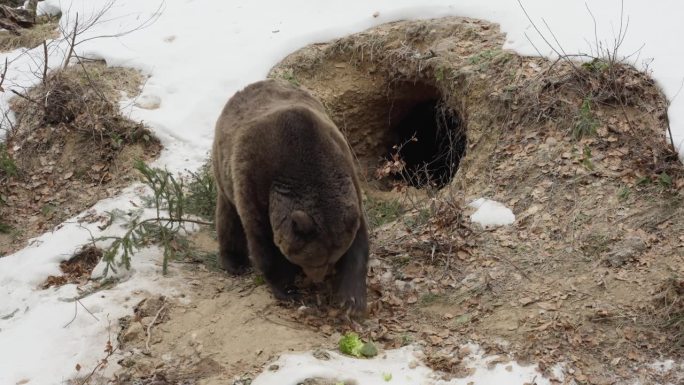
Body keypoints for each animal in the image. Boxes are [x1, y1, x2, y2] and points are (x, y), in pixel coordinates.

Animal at [211, 78, 368, 316]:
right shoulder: (255, 182)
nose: (318, 278)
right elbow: (264, 243)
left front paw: (350, 298)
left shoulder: (347, 173)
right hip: (224, 170)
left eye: (332, 258)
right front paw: (288, 290)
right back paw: (235, 262)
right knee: (229, 216)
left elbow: (358, 240)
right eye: (313, 260)